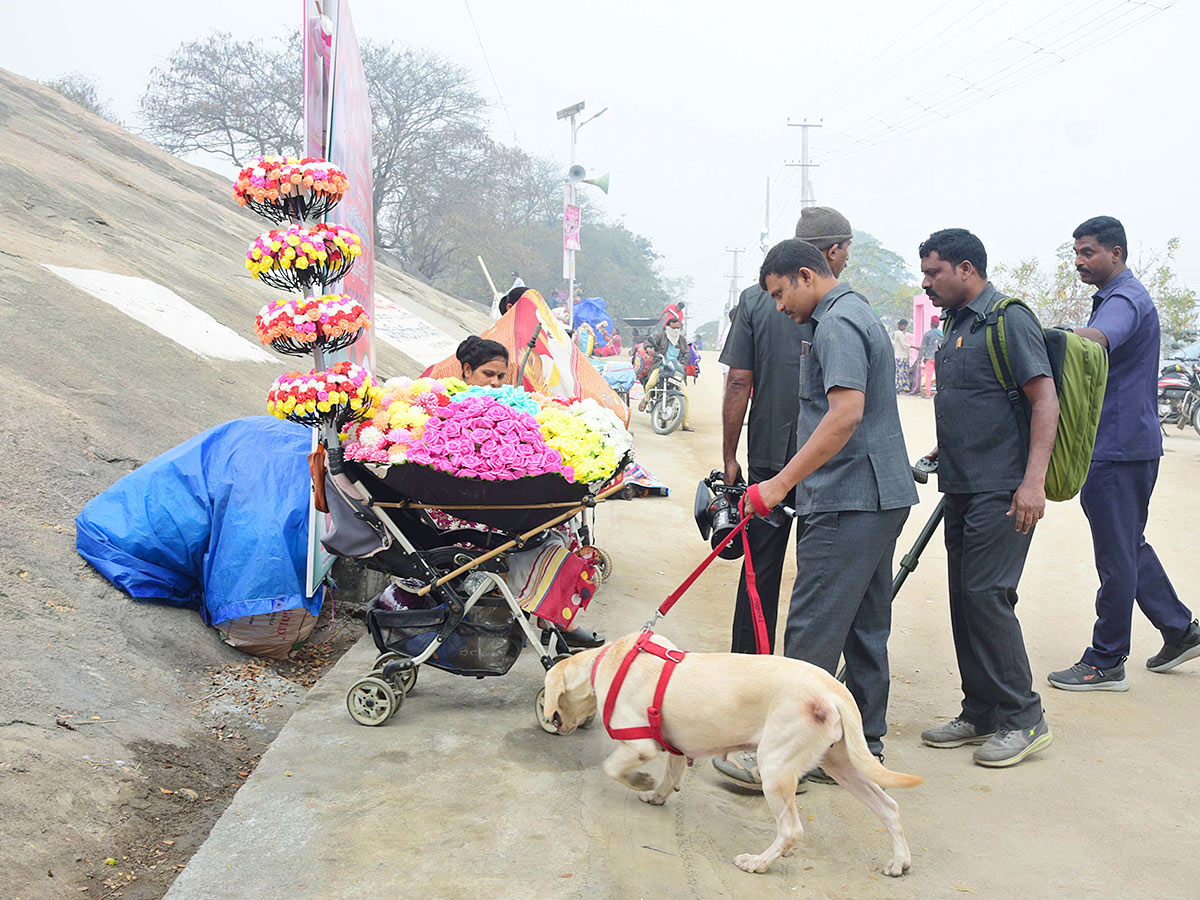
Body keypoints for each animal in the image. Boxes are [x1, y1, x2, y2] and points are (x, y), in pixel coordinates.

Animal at [540, 628, 921, 878]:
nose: (552, 721)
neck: (608, 662)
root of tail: (834, 689)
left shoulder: (640, 744)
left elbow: (613, 768)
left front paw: (639, 780)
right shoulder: (673, 744)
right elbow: (672, 772)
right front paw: (657, 794)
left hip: (775, 768)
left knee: (790, 831)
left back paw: (758, 863)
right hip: (843, 765)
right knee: (889, 807)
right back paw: (899, 862)